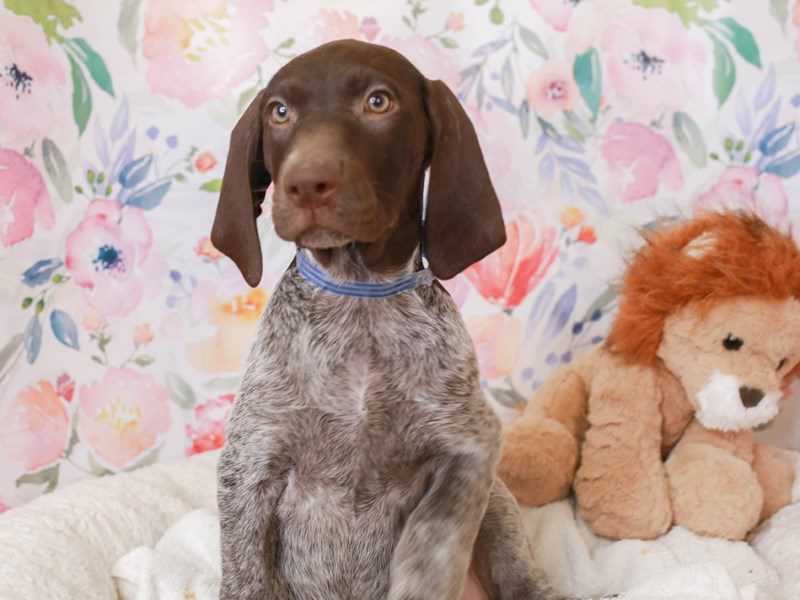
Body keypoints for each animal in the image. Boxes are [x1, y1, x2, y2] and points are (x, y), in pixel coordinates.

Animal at [212, 39, 564, 596]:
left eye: (378, 102)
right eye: (280, 112)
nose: (305, 184)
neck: (360, 298)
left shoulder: (474, 444)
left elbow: (438, 528)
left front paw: (421, 575)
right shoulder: (249, 468)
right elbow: (245, 575)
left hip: (500, 506)